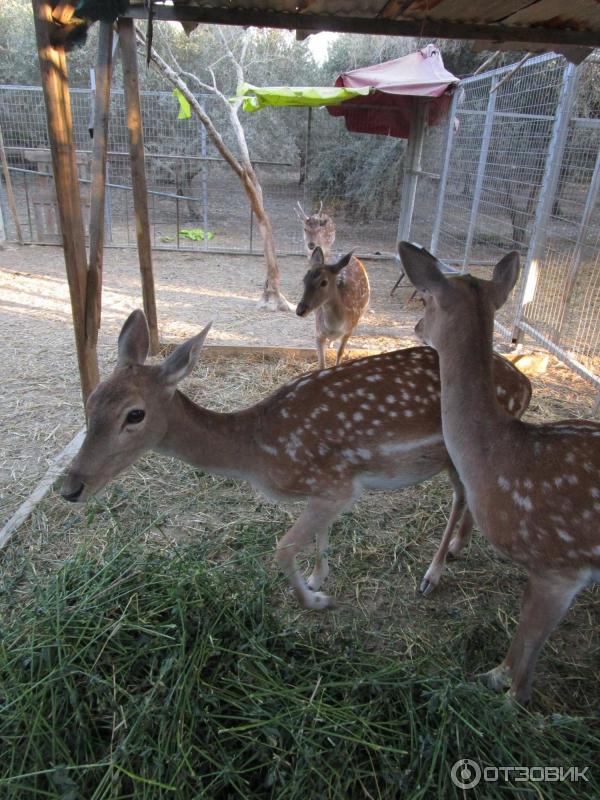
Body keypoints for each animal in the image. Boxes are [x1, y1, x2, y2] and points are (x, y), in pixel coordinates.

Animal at [59, 310, 528, 608]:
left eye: (134, 414)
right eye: (92, 399)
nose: (70, 487)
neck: (257, 450)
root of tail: (524, 385)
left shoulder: (336, 483)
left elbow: (282, 549)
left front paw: (315, 599)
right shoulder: (330, 488)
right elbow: (318, 535)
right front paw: (320, 576)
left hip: (458, 450)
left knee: (460, 497)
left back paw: (432, 574)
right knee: (468, 496)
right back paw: (457, 548)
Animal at [398, 241, 600, 704]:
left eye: (427, 299)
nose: (416, 325)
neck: (499, 451)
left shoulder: (560, 567)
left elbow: (528, 652)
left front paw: (504, 692)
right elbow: (524, 633)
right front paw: (495, 675)